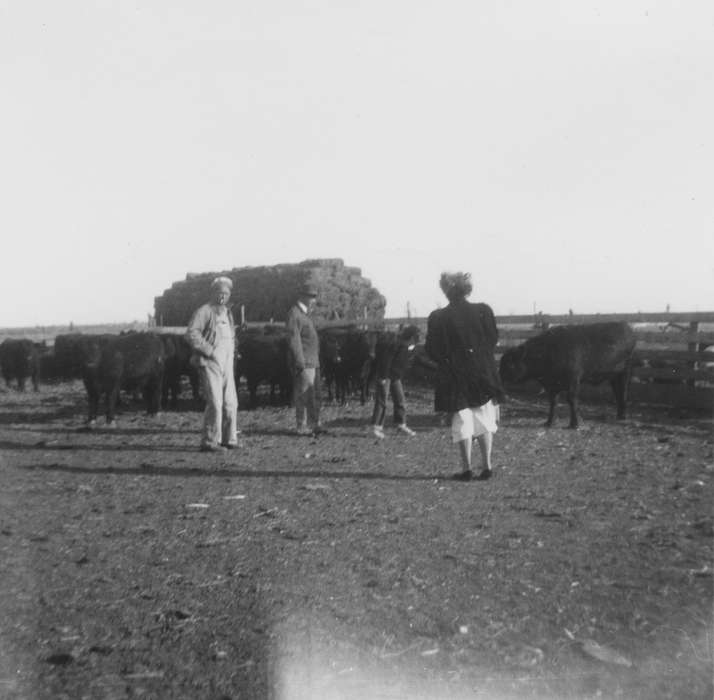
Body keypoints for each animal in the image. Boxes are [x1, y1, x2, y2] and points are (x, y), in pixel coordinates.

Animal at [496, 322, 636, 430]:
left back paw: (623, 416)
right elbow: (553, 402)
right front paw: (550, 422)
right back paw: (619, 415)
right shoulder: (552, 386)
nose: (499, 376)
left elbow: (571, 400)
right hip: (614, 375)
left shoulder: (573, 381)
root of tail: (625, 325)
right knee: (617, 392)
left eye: (510, 364)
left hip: (625, 371)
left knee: (623, 391)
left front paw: (575, 423)